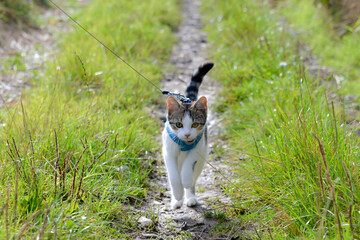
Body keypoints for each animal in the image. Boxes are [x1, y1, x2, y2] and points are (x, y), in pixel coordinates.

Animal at [161, 62, 214, 209]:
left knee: (194, 174)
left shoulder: (199, 145)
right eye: (179, 124)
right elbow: (173, 175)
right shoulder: (167, 150)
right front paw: (178, 194)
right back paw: (177, 201)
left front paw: (185, 180)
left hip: (202, 158)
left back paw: (190, 196)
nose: (187, 134)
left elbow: (189, 163)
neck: (184, 143)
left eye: (195, 124)